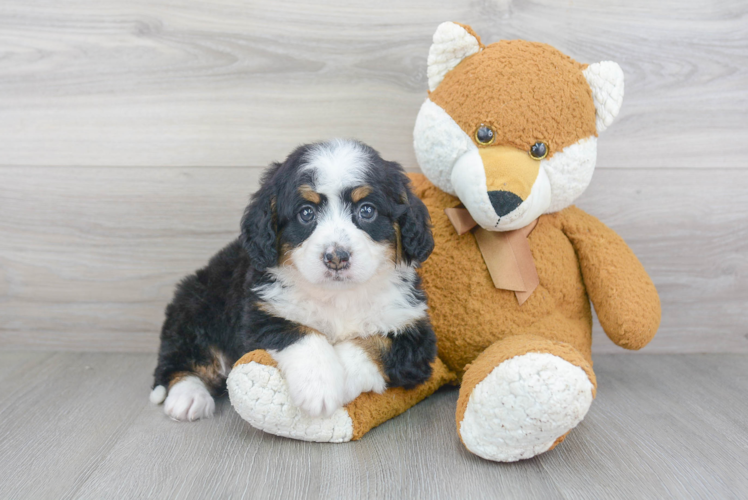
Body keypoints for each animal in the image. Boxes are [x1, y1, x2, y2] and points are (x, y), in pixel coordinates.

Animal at [149, 140, 436, 422]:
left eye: (367, 210)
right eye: (306, 213)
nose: (336, 257)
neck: (339, 296)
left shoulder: (413, 332)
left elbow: (372, 345)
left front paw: (340, 380)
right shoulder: (261, 314)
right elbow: (302, 333)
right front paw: (319, 386)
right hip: (198, 304)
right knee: (183, 359)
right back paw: (187, 397)